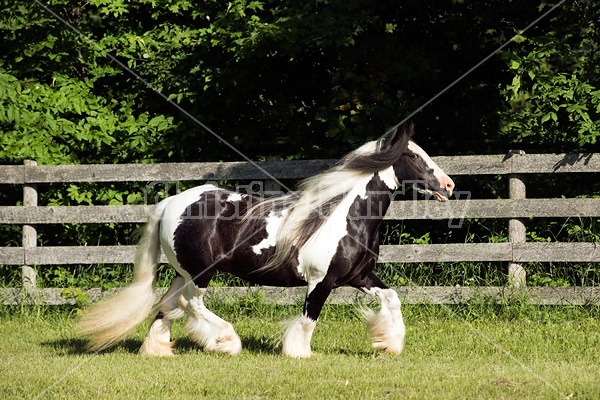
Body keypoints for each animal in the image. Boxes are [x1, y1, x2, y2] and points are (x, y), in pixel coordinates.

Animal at [79, 123, 454, 358]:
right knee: (190, 304)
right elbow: (308, 319)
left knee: (168, 305)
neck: (344, 216)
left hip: (183, 272)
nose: (449, 185)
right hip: (200, 274)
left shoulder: (359, 277)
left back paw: (158, 349)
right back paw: (227, 342)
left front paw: (389, 345)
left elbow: (392, 299)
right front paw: (299, 354)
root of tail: (172, 202)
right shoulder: (321, 281)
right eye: (414, 156)